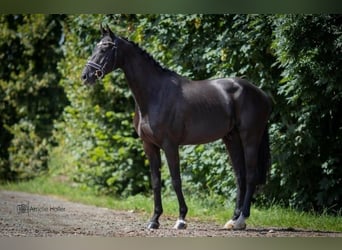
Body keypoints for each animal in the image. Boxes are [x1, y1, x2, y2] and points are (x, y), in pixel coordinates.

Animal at [81, 25, 272, 230]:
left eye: (105, 48)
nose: (85, 76)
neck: (154, 94)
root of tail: (261, 94)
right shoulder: (149, 146)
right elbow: (156, 182)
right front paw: (154, 220)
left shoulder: (170, 145)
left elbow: (175, 180)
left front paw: (181, 218)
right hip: (231, 138)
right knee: (240, 176)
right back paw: (233, 219)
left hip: (250, 138)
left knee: (251, 176)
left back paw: (241, 219)